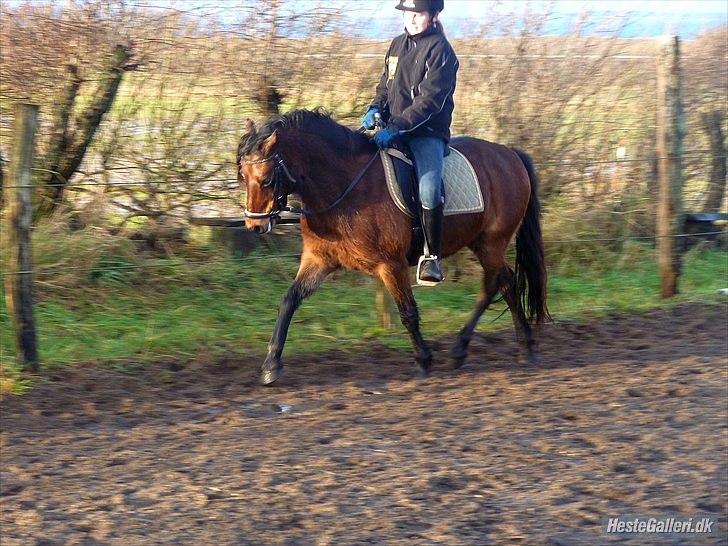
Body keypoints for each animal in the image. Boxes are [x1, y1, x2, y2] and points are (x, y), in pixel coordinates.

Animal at [237, 108, 549, 385]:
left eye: (266, 178)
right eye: (243, 176)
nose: (254, 226)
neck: (345, 186)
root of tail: (510, 154)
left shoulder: (391, 265)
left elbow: (408, 312)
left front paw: (423, 360)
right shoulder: (319, 260)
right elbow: (288, 300)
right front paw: (271, 365)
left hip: (491, 242)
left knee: (492, 284)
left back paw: (473, 348)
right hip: (481, 242)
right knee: (506, 282)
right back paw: (518, 346)